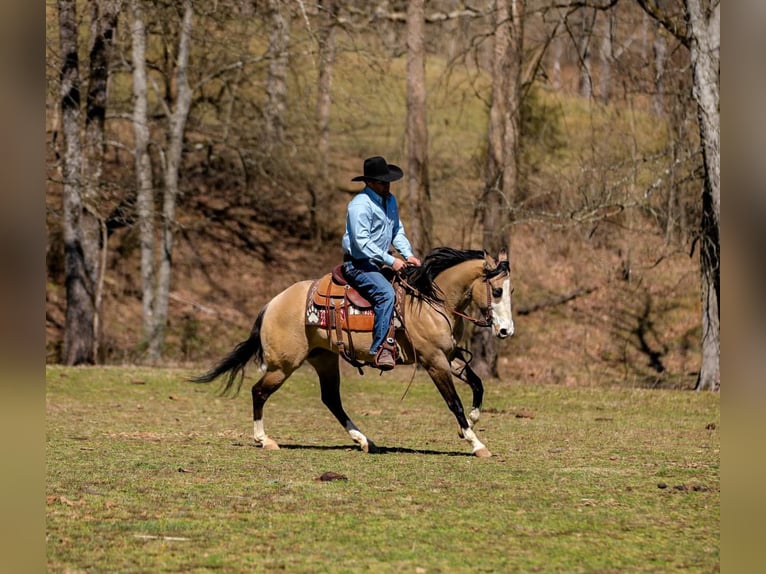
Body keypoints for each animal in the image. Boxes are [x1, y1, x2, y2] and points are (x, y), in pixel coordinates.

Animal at [191, 247, 514, 457]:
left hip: (323, 359)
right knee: (259, 392)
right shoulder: (434, 361)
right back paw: (263, 440)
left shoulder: (449, 355)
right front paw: (475, 442)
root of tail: (273, 303)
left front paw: (470, 423)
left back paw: (364, 441)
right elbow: (454, 402)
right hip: (283, 365)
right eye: (497, 291)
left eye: (511, 291)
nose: (505, 331)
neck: (430, 301)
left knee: (331, 399)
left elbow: (477, 384)